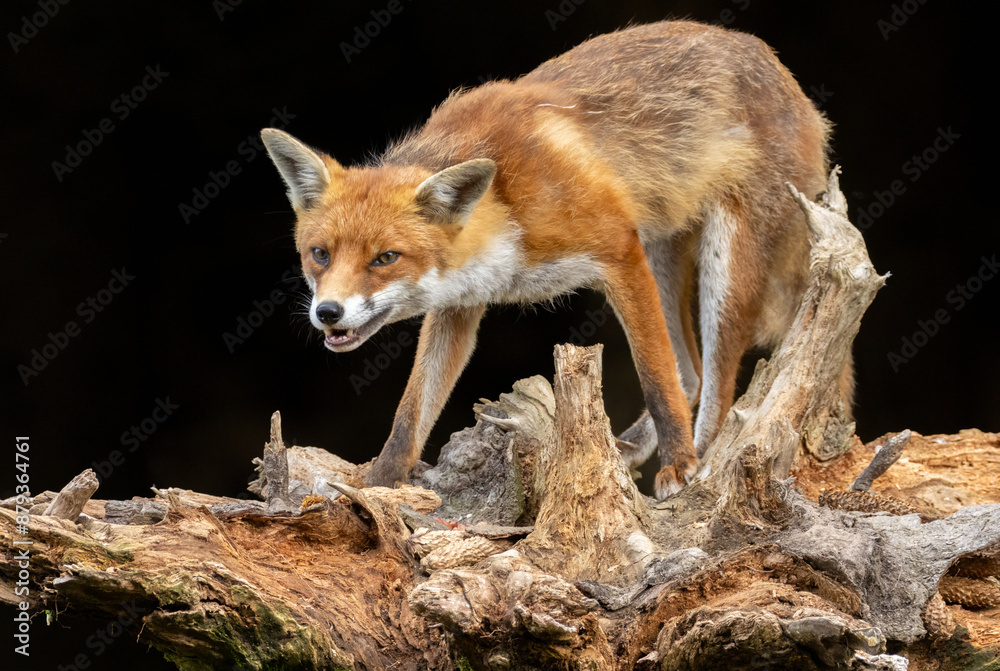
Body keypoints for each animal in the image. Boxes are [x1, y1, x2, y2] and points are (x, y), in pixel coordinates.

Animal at [261, 20, 838, 499]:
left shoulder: (618, 250)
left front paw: (679, 463)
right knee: (690, 372)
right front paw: (378, 484)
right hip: (662, 249)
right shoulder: (458, 305)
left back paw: (700, 460)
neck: (504, 205)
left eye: (385, 257)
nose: (327, 313)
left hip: (722, 264)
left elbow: (655, 377)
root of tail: (776, 66)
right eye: (319, 254)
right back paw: (632, 447)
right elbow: (411, 411)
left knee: (714, 383)